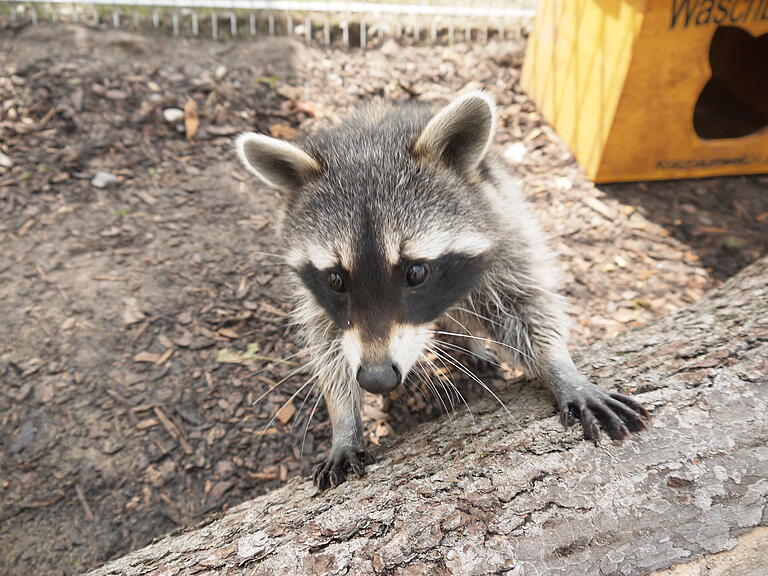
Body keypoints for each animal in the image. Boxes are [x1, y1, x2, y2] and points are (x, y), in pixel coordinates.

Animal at [236, 91, 648, 490]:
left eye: (416, 273)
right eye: (336, 279)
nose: (376, 379)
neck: (370, 141)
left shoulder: (504, 229)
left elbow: (525, 304)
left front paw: (559, 366)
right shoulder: (317, 299)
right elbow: (329, 345)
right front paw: (344, 421)